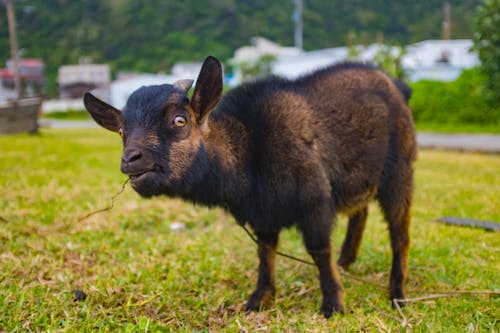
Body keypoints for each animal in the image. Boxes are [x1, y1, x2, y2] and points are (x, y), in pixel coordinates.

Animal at [84, 55, 416, 316]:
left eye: (180, 121)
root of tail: (395, 85)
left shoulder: (315, 200)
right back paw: (346, 262)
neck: (250, 147)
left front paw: (333, 304)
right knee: (360, 212)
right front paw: (259, 299)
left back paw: (397, 294)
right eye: (122, 131)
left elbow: (319, 250)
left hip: (400, 170)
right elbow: (265, 252)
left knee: (399, 233)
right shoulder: (263, 214)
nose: (131, 160)